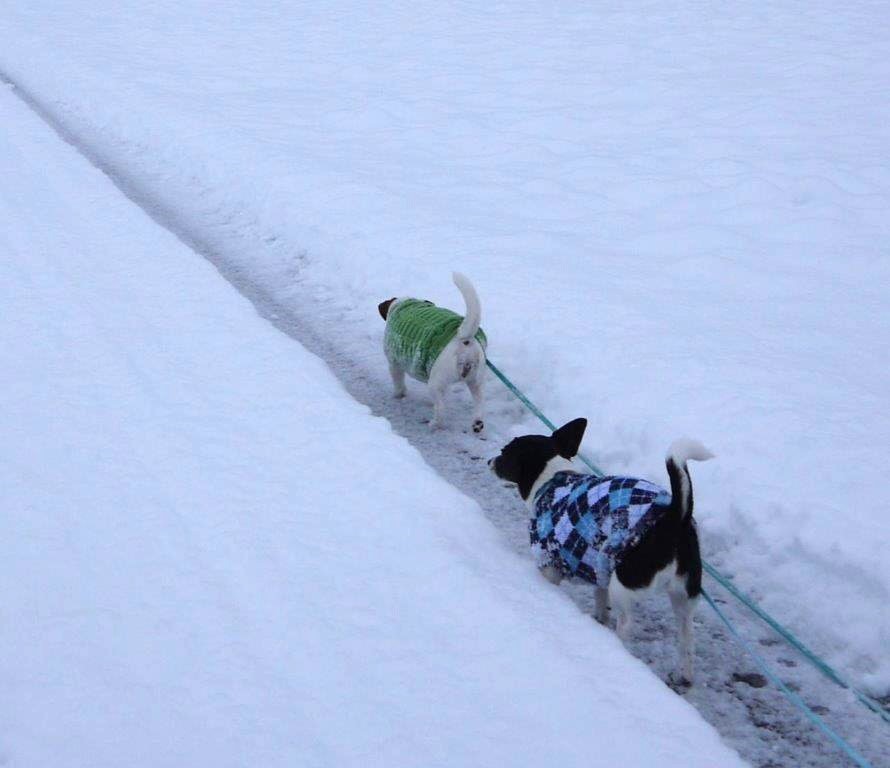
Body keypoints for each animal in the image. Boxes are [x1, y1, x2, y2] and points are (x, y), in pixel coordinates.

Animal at [378, 272, 487, 432]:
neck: (402, 305)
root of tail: (465, 340)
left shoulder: (394, 363)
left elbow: (398, 382)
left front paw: (398, 394)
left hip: (436, 382)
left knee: (441, 409)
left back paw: (435, 424)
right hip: (476, 381)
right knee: (479, 402)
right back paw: (477, 423)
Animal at [489, 417, 714, 683]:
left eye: (504, 452)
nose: (489, 461)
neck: (552, 479)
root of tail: (676, 515)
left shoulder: (549, 564)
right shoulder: (599, 563)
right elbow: (599, 597)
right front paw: (599, 619)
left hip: (624, 582)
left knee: (627, 622)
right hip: (684, 593)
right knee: (686, 634)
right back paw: (685, 674)